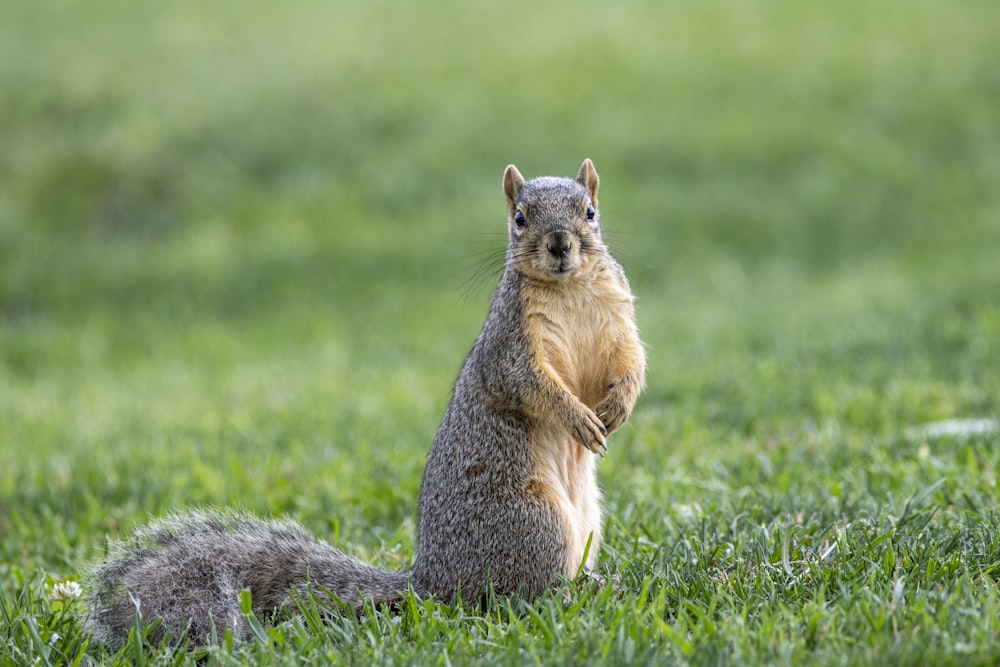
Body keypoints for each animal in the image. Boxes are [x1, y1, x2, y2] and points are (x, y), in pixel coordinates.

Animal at [86, 159, 648, 648]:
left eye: (589, 212)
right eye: (520, 218)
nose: (559, 245)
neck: (568, 288)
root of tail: (433, 583)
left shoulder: (619, 320)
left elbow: (631, 362)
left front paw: (618, 407)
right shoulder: (510, 344)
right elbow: (531, 384)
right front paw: (578, 417)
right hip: (533, 522)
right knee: (526, 596)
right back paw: (579, 593)